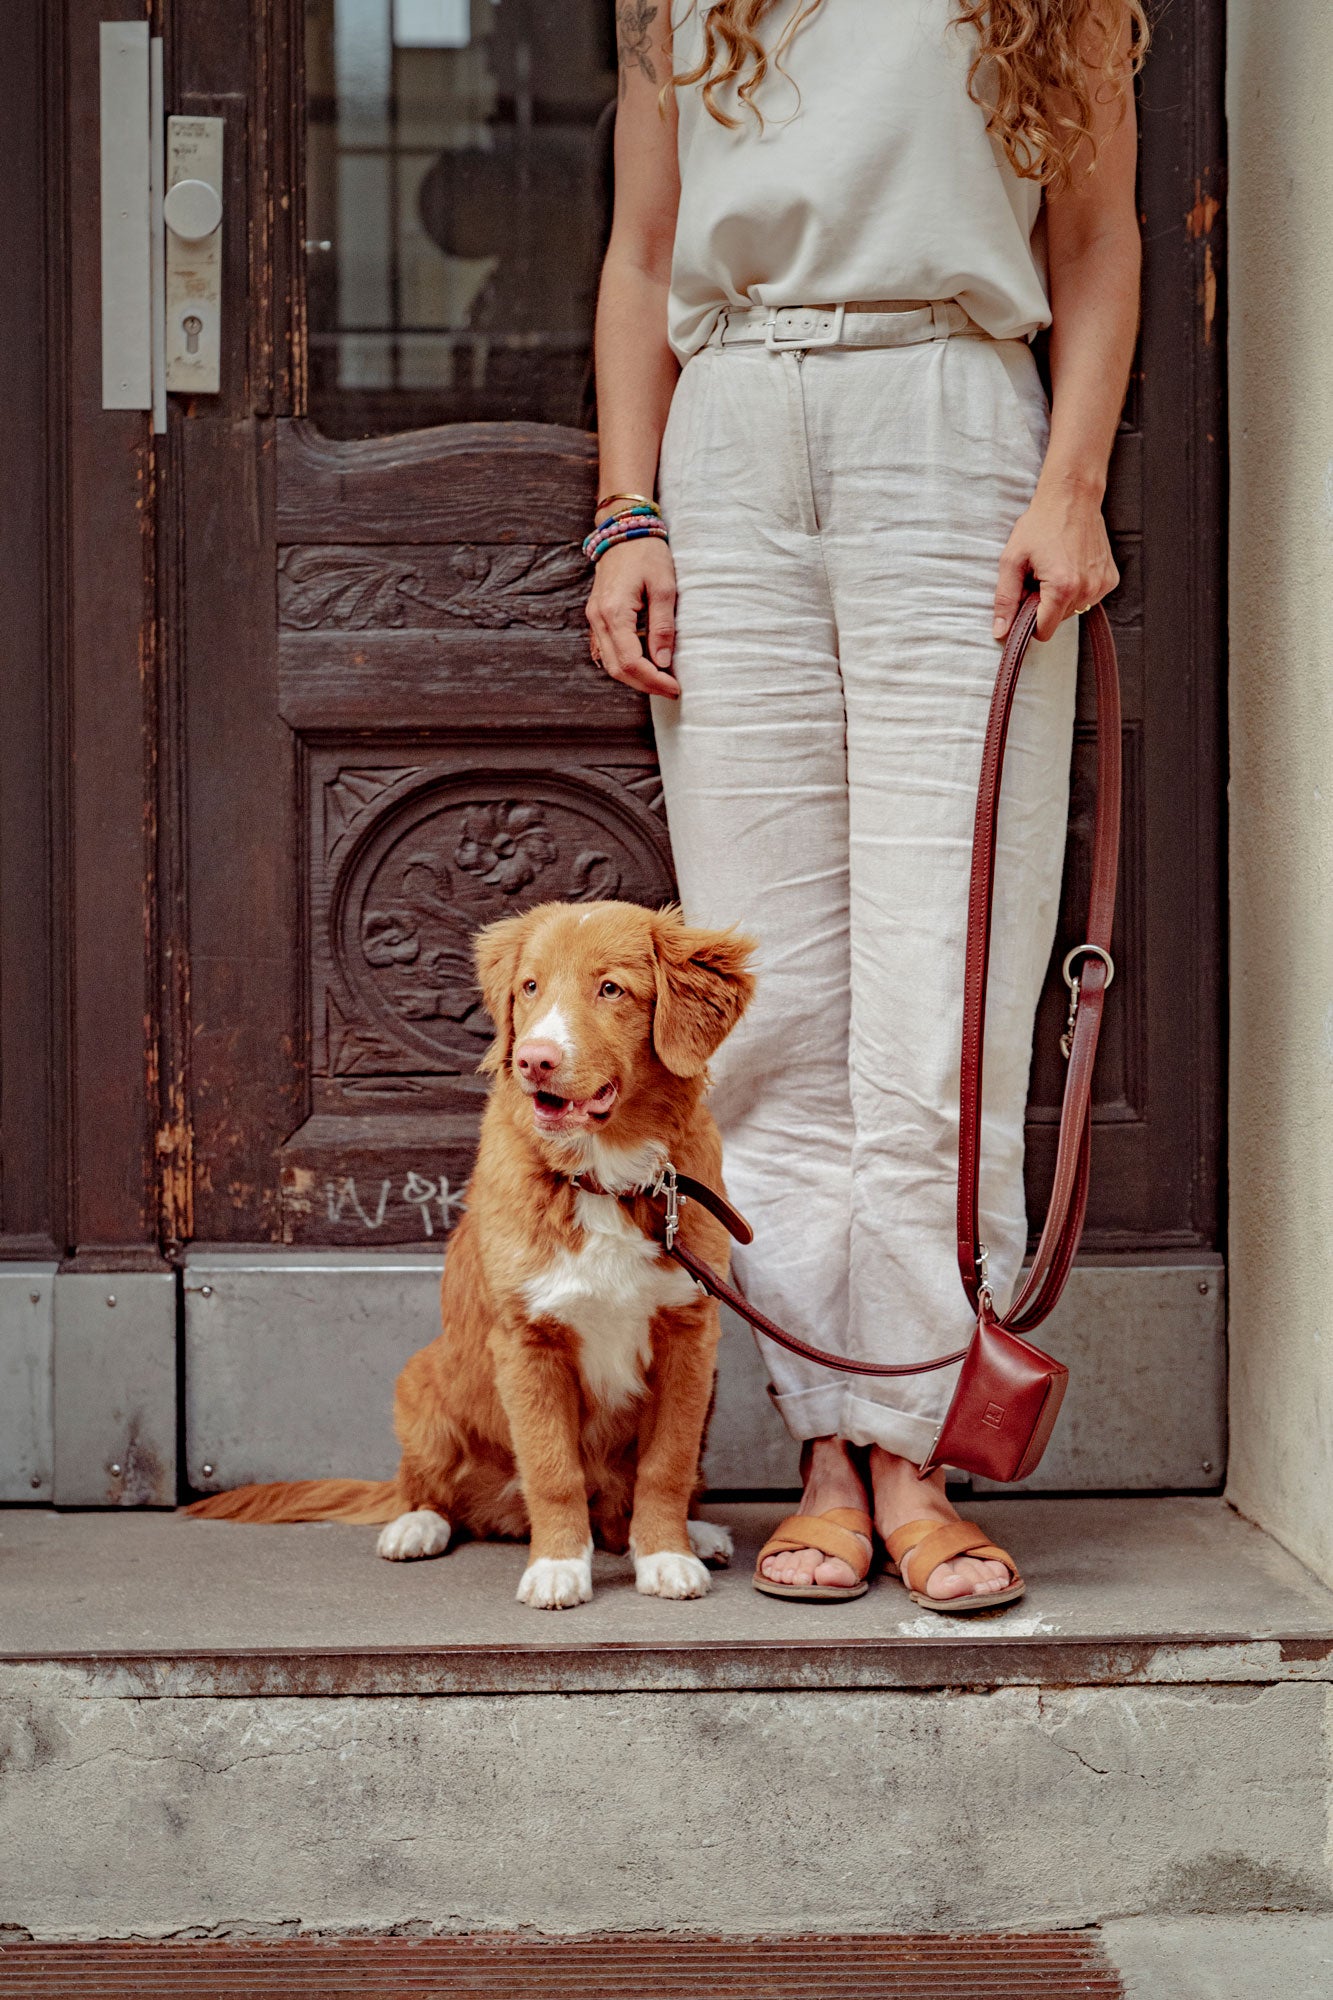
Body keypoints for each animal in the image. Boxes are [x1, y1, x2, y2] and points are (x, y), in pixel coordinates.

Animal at [185, 904, 752, 1608]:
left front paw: (667, 1555)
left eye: (611, 989)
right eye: (530, 987)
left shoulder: (689, 1335)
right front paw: (558, 1566)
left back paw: (691, 1534)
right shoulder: (526, 1340)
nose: (534, 1060)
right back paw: (416, 1526)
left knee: (624, 1504)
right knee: (430, 1489)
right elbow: (553, 1468)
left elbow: (666, 1464)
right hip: (421, 1381)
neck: (603, 1178)